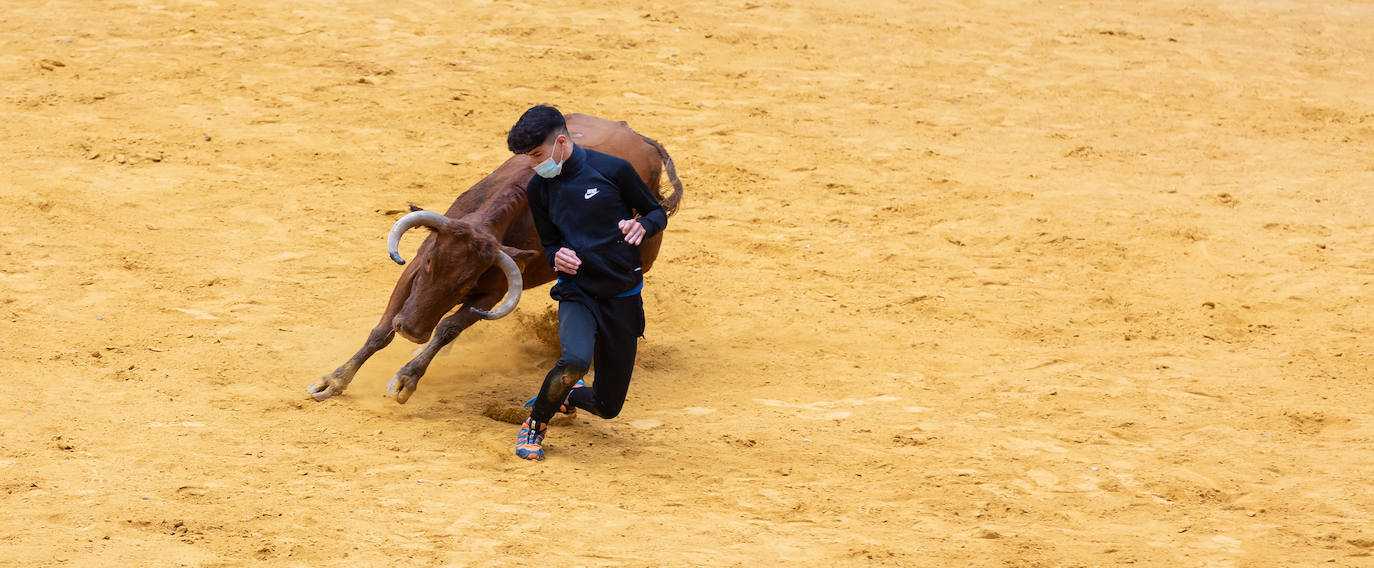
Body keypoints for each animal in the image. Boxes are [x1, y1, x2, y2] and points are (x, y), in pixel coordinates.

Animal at [306, 112, 681, 401]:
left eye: (465, 283)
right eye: (430, 264)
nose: (411, 331)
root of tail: (639, 137)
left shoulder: (492, 294)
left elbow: (448, 328)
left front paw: (406, 379)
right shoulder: (411, 272)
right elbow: (382, 329)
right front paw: (334, 380)